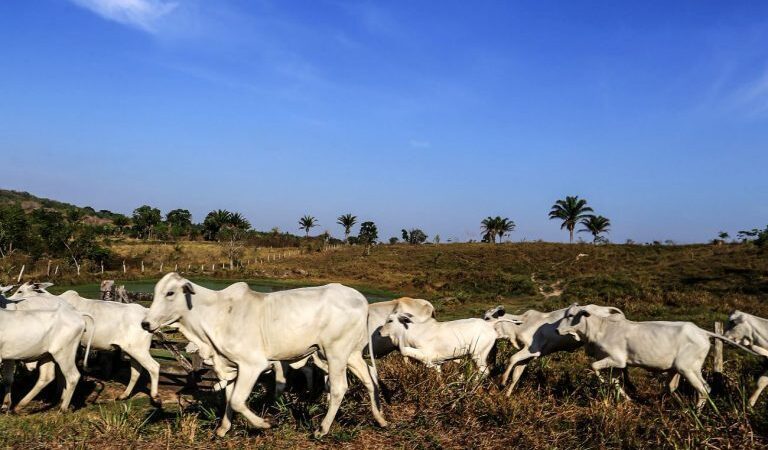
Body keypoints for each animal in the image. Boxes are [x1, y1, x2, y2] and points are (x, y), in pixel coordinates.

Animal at [10, 282, 160, 404]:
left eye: (20, 291)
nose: (10, 300)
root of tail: (146, 312)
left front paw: (60, 395)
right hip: (131, 350)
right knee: (136, 371)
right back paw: (124, 395)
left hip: (138, 349)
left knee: (154, 367)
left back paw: (155, 396)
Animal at [140, 272, 388, 438]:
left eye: (170, 293)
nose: (145, 323)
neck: (215, 314)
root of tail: (360, 299)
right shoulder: (231, 366)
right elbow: (230, 398)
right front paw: (223, 429)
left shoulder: (253, 365)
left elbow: (238, 401)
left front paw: (266, 424)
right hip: (352, 354)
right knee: (369, 380)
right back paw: (381, 419)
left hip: (335, 353)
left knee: (338, 388)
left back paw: (322, 429)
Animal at [556, 304, 752, 406]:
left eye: (571, 315)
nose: (557, 330)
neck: (601, 329)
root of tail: (701, 332)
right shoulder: (619, 365)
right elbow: (615, 382)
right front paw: (627, 398)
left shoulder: (616, 360)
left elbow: (594, 367)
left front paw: (605, 384)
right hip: (686, 369)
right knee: (697, 387)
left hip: (686, 368)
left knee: (702, 390)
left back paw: (696, 414)